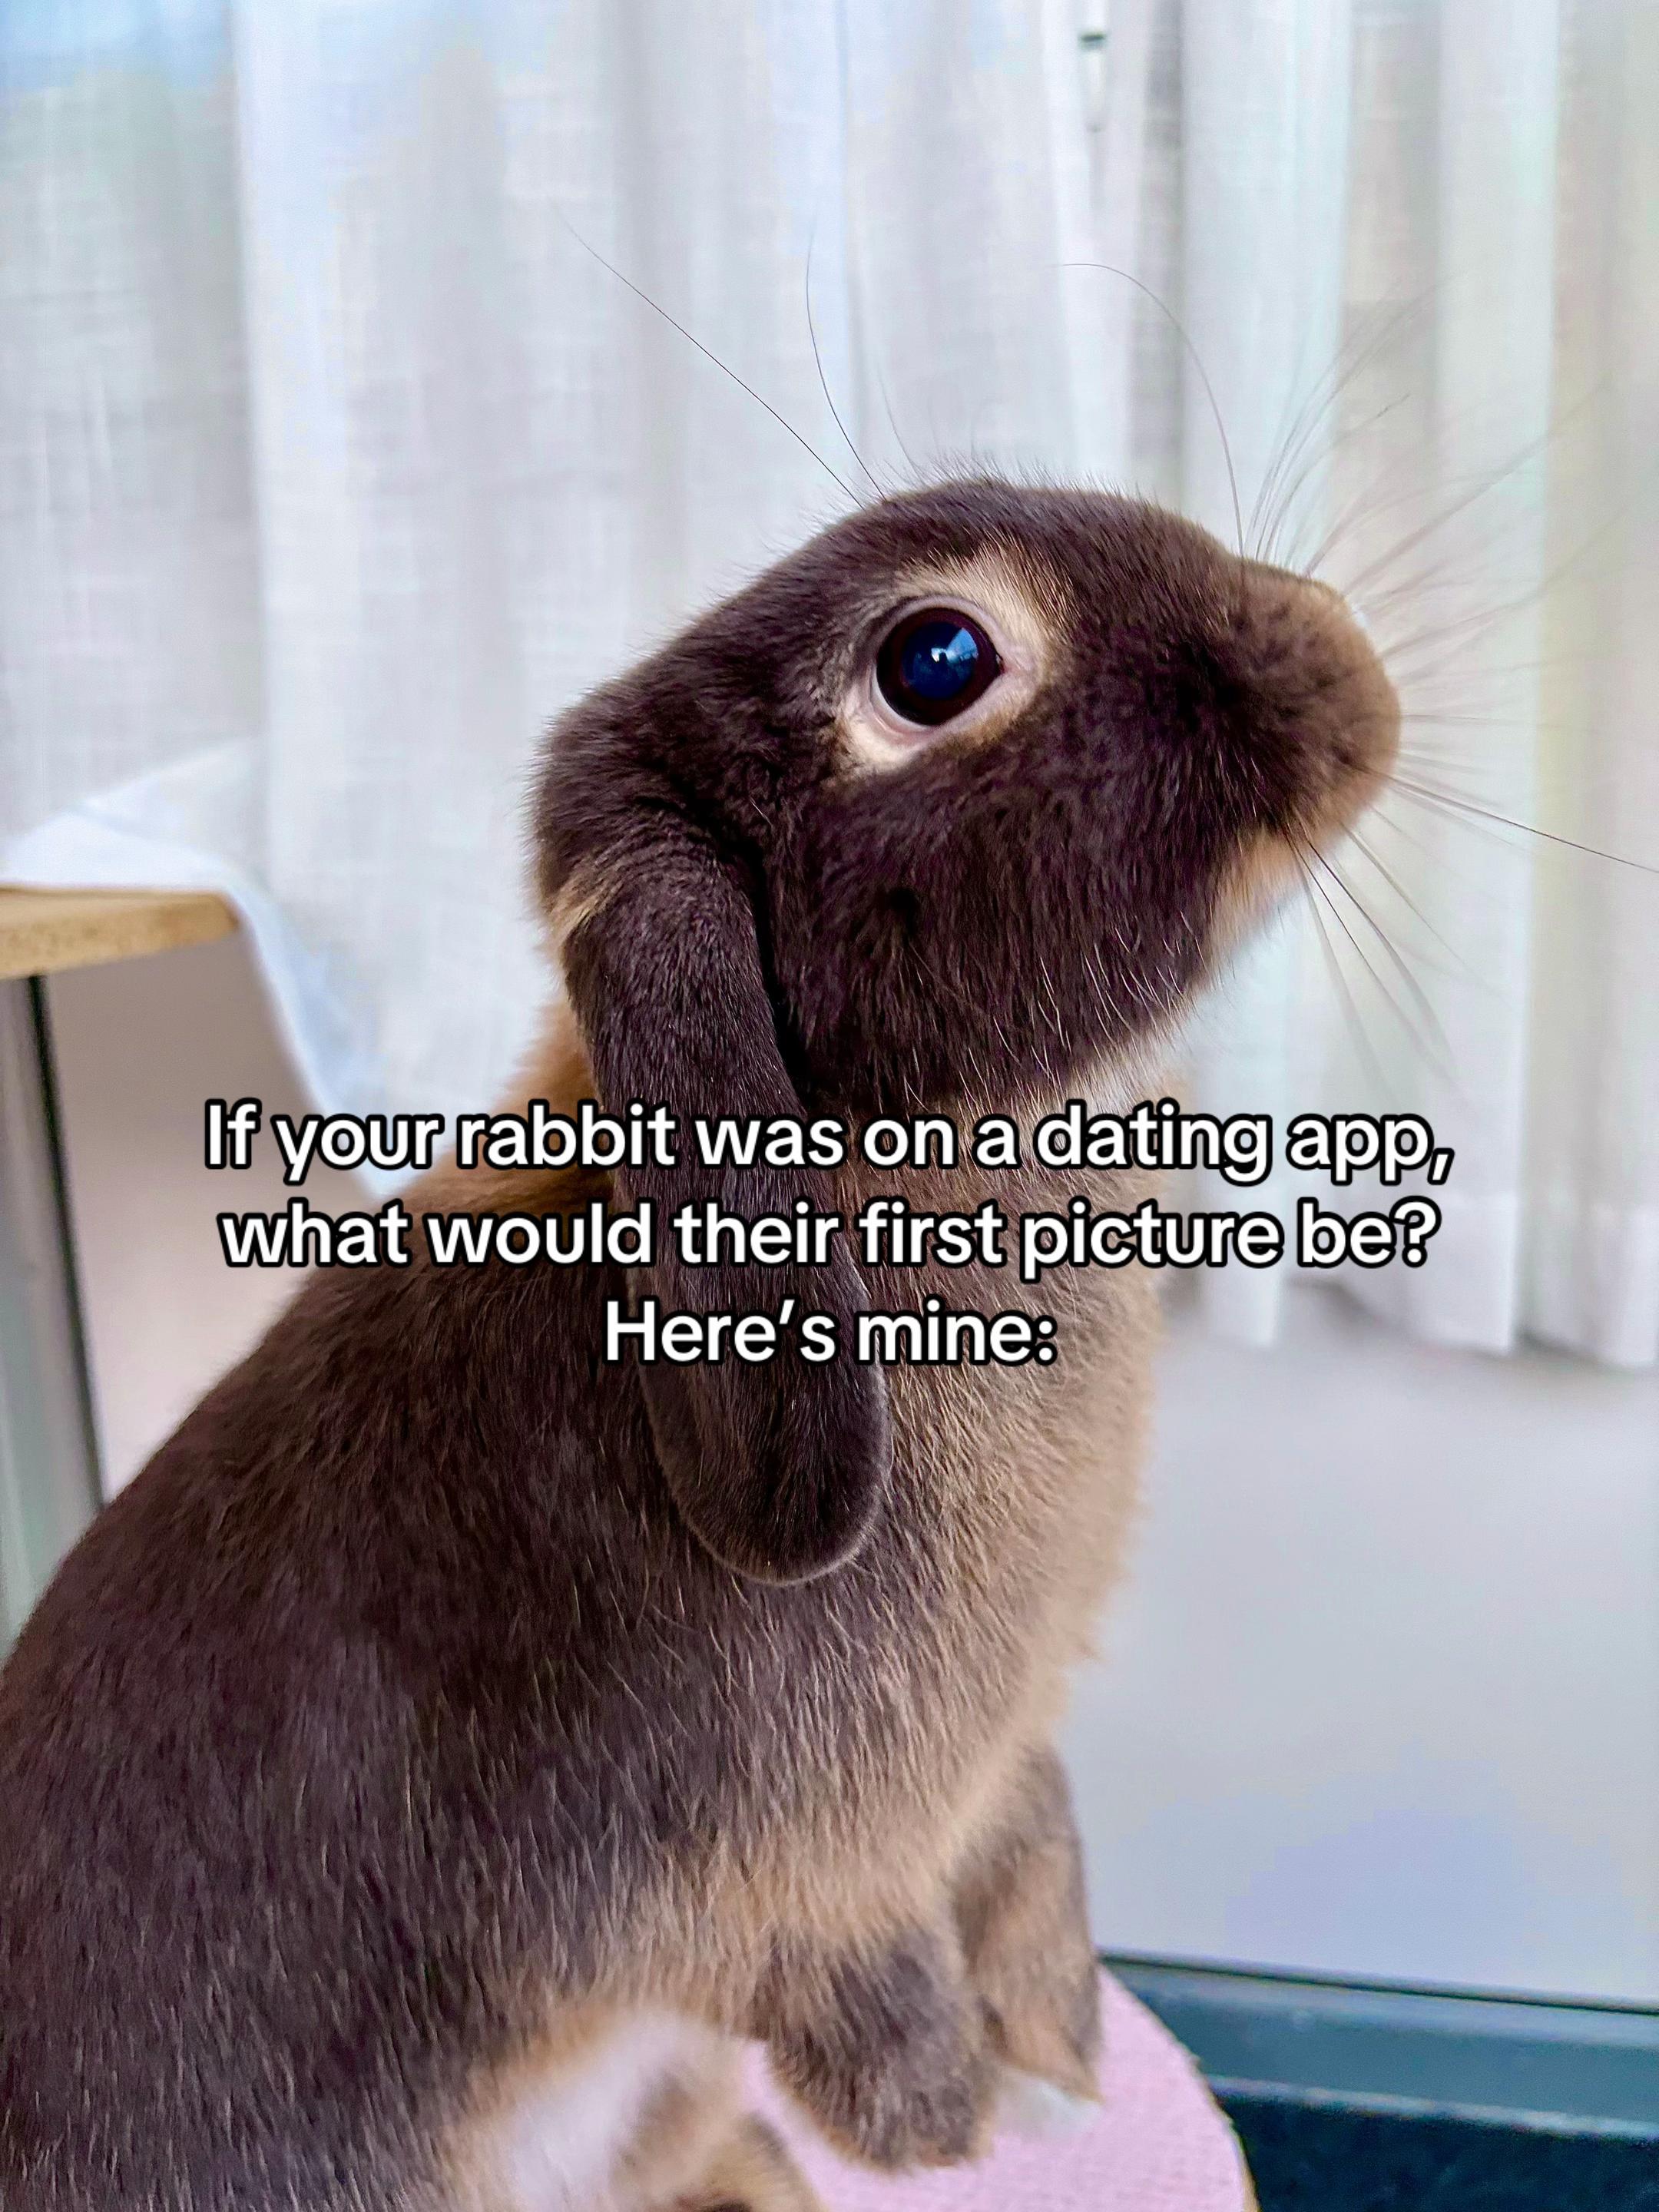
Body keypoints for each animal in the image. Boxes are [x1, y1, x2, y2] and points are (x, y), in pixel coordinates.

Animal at [0, 478, 1397, 2212]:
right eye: (936, 661)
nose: (1336, 649)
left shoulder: (1002, 1757)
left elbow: (1040, 1841)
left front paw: (1057, 2068)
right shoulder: (785, 1881)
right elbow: (868, 1982)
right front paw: (947, 2127)